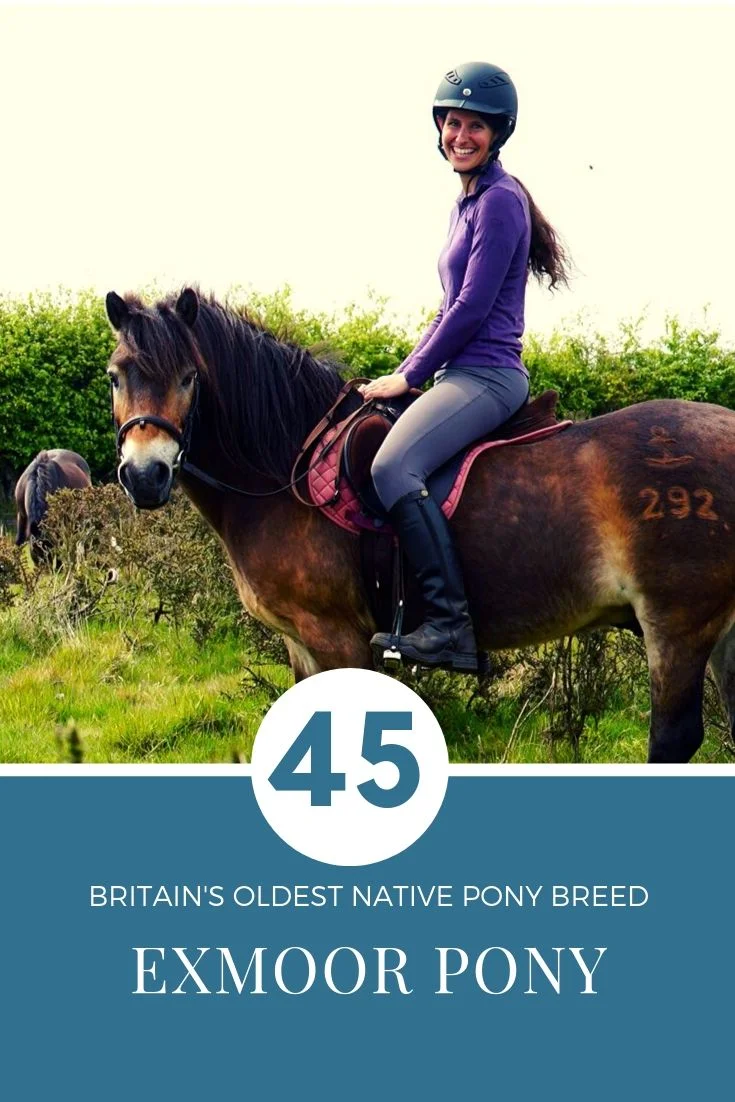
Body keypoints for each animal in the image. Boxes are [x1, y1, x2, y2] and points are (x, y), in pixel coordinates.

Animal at [104, 286, 735, 763]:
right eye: (116, 376)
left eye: (189, 377)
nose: (145, 475)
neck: (287, 466)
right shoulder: (300, 643)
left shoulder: (336, 638)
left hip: (678, 626)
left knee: (673, 740)